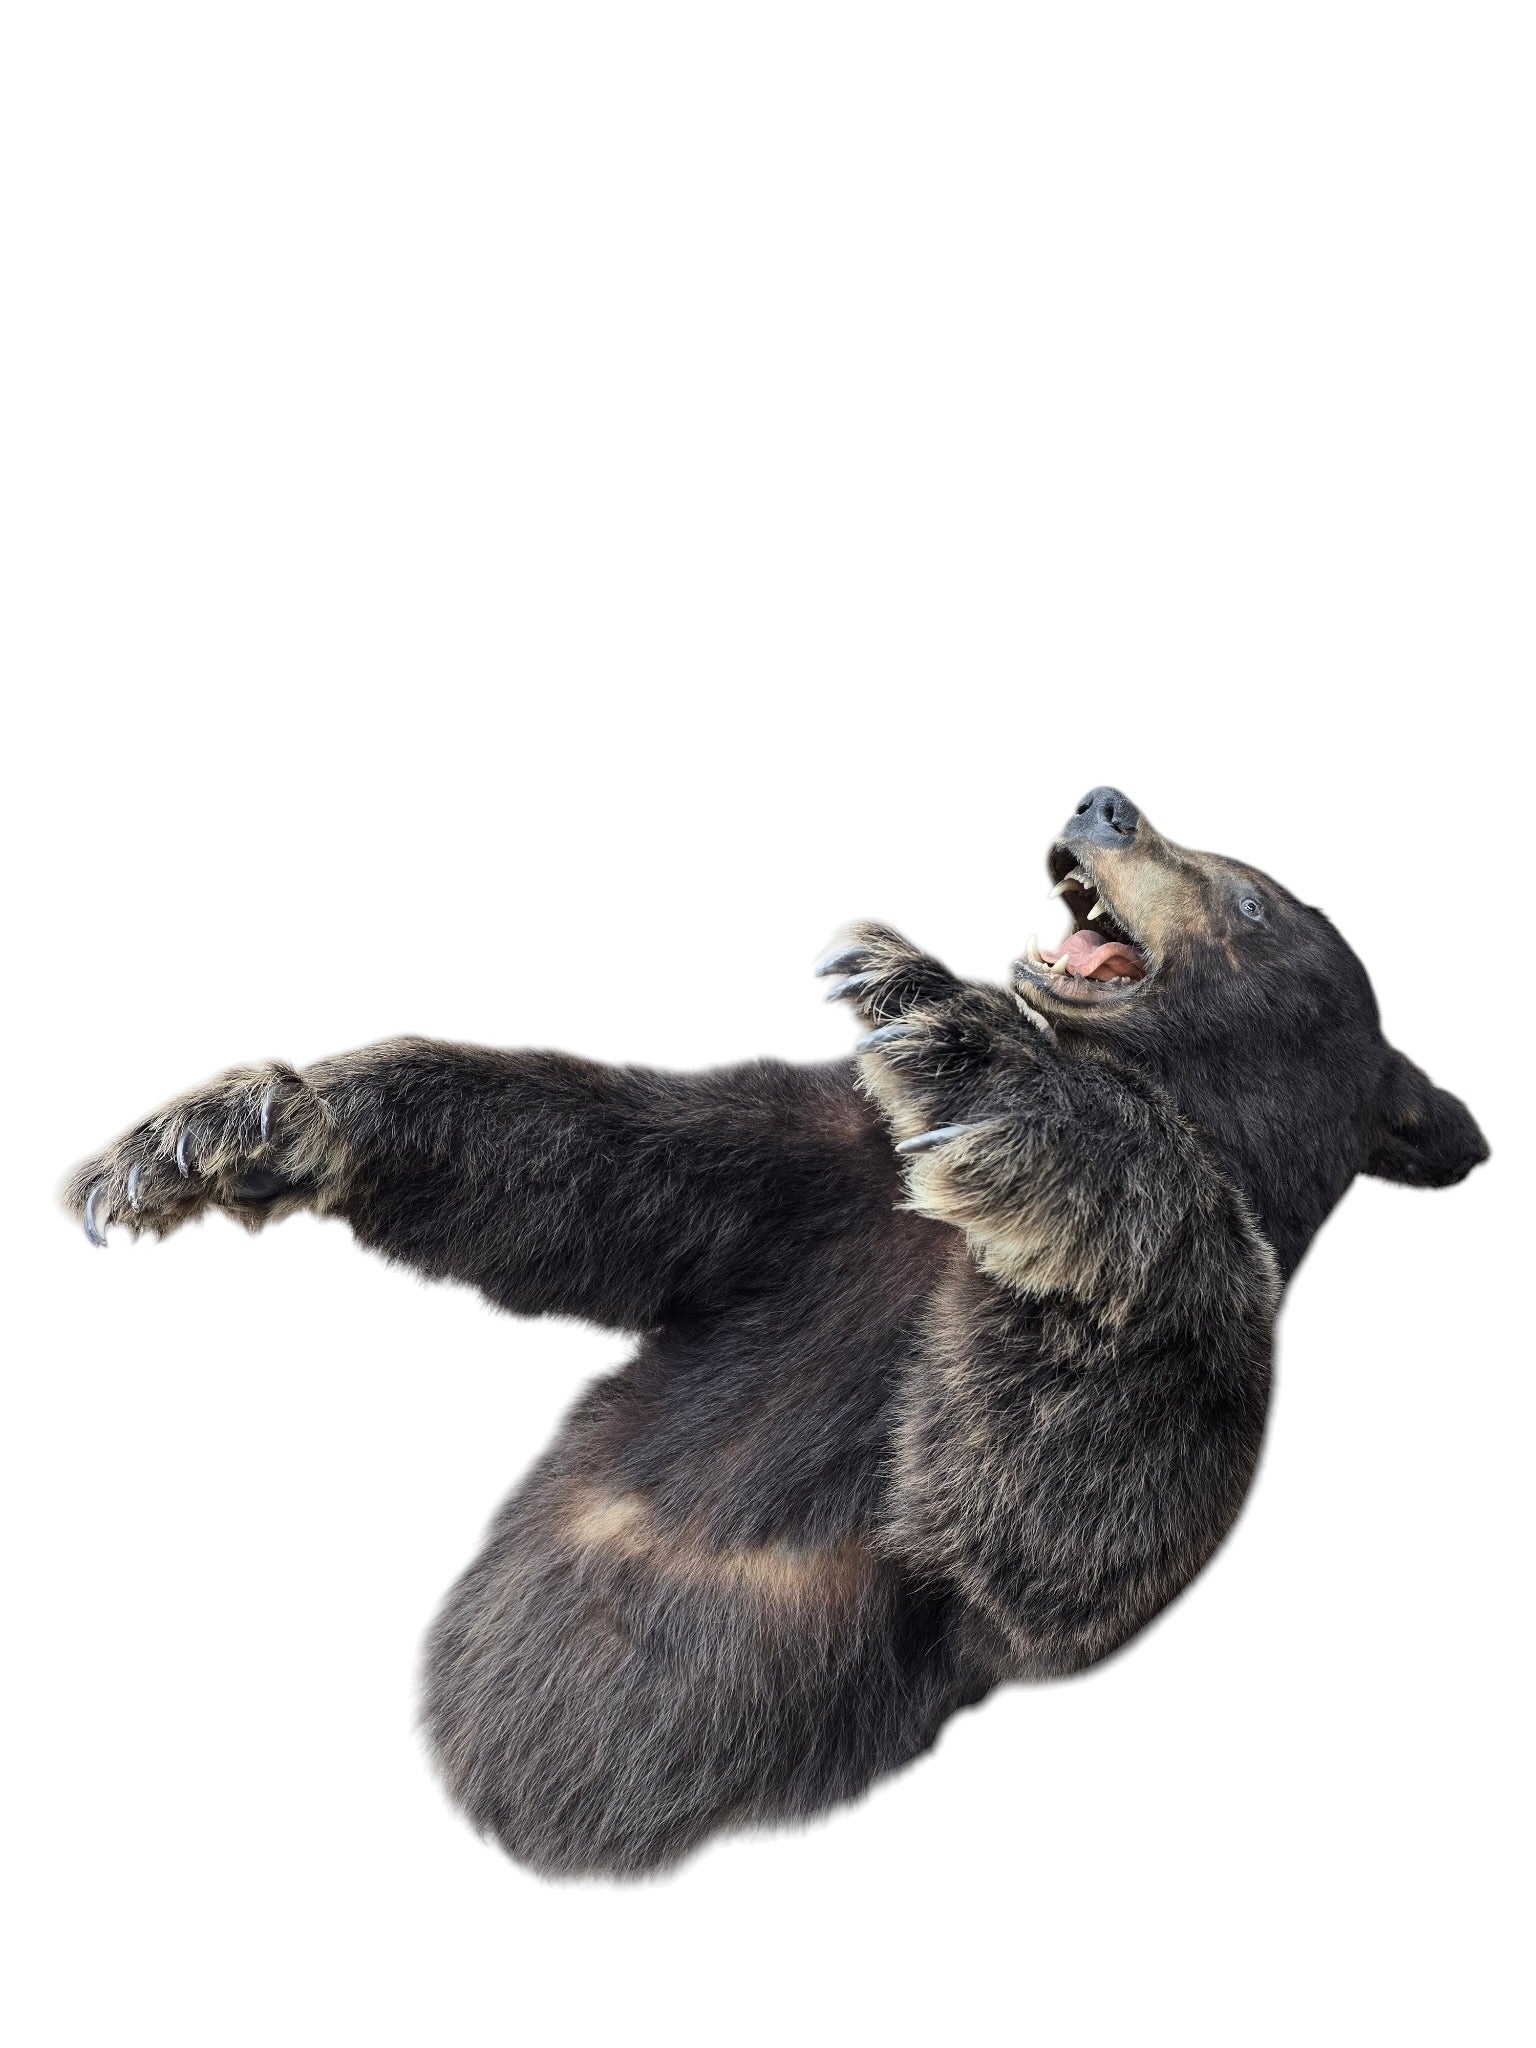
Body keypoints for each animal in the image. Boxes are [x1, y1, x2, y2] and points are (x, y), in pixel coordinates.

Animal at [64, 786, 1487, 1878]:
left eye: (1250, 902)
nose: (1105, 801)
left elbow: (1066, 1516)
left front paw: (980, 1049)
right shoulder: (821, 1179)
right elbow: (606, 1159)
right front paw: (238, 1124)